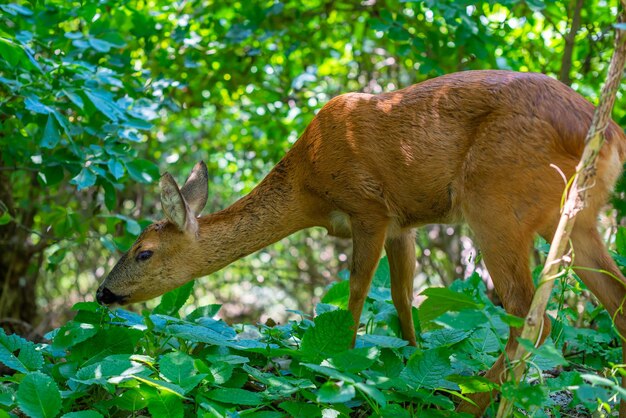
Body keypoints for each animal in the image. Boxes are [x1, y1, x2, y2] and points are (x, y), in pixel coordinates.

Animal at [96, 70, 624, 416]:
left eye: (143, 252)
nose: (102, 292)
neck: (308, 185)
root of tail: (610, 135)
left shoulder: (368, 208)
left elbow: (354, 297)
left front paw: (338, 372)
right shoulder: (403, 223)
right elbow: (403, 299)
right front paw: (411, 364)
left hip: (495, 203)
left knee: (530, 314)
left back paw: (469, 402)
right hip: (576, 218)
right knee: (614, 299)